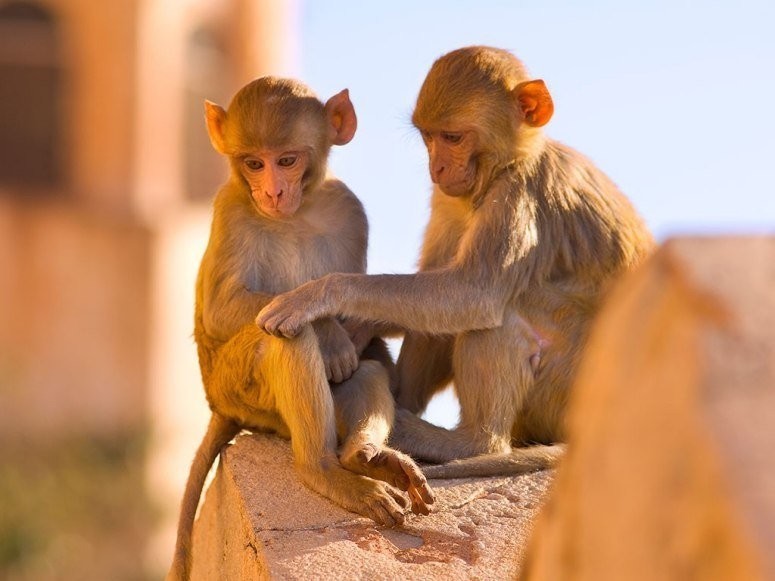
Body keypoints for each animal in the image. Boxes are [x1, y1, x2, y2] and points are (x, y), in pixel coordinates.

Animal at [169, 79, 434, 580]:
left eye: (287, 160)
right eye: (254, 163)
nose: (272, 192)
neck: (295, 213)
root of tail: (219, 405)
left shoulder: (349, 211)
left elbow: (359, 320)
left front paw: (339, 323)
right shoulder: (231, 208)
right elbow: (220, 310)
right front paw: (326, 328)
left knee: (368, 367)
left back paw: (365, 456)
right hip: (241, 391)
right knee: (286, 338)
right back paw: (323, 469)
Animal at [260, 47, 656, 476]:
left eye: (452, 137)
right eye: (428, 137)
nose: (437, 168)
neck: (508, 164)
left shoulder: (519, 195)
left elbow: (473, 294)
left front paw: (318, 295)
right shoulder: (449, 196)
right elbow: (434, 282)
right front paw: (356, 327)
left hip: (567, 390)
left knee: (499, 312)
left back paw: (464, 441)